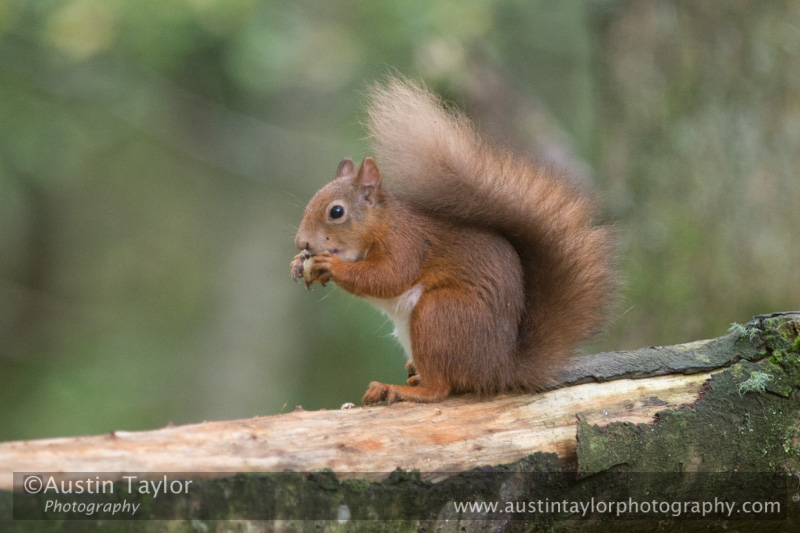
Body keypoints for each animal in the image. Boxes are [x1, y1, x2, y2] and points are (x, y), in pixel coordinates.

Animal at [290, 78, 616, 404]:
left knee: (440, 388)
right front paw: (298, 265)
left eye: (336, 212)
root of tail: (500, 370)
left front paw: (330, 264)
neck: (383, 224)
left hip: (438, 314)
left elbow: (388, 277)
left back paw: (398, 388)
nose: (301, 243)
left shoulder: (407, 244)